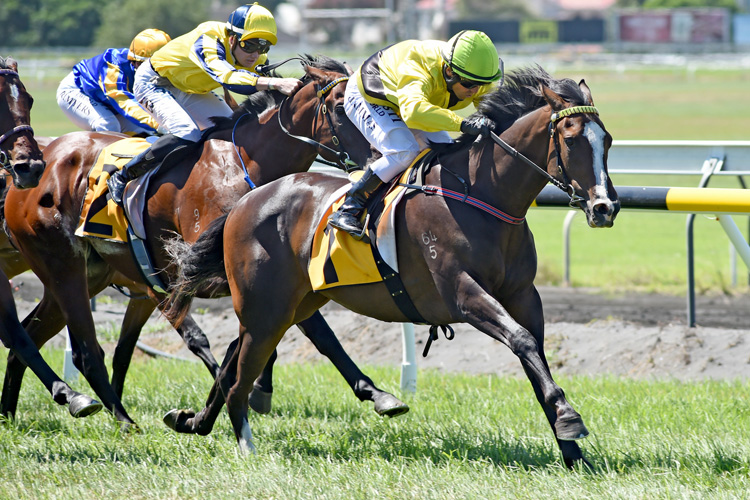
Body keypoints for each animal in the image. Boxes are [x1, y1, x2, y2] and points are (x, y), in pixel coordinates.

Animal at [162, 66, 620, 468]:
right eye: (571, 138)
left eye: (609, 140)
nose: (605, 207)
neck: (482, 196)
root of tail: (245, 201)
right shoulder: (463, 293)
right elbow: (523, 342)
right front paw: (569, 419)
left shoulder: (524, 295)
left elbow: (534, 352)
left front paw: (572, 451)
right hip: (265, 308)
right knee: (240, 377)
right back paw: (246, 447)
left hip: (291, 304)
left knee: (232, 362)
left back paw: (192, 421)